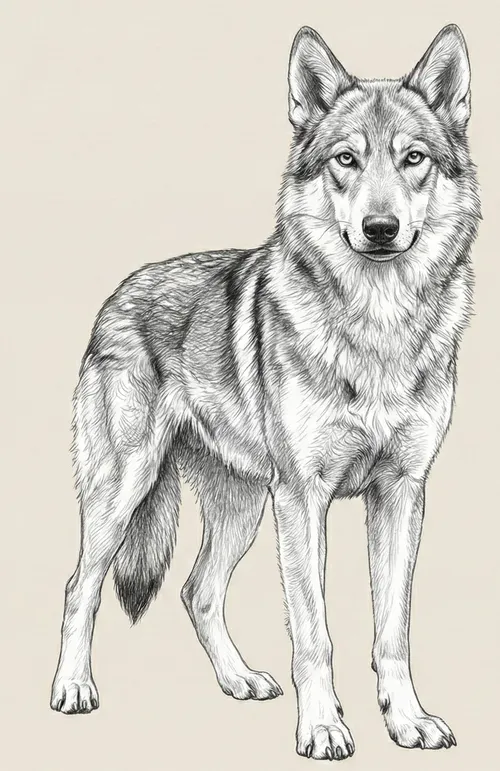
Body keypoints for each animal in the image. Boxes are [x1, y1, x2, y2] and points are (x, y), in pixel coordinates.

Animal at [51, 23, 480, 760]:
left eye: (414, 159)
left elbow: (392, 632)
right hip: (127, 492)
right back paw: (73, 688)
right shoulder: (303, 498)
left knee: (196, 590)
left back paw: (239, 679)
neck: (376, 324)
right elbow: (314, 634)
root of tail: (120, 291)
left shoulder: (401, 493)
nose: (381, 229)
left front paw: (406, 721)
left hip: (246, 506)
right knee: (82, 586)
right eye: (346, 160)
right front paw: (323, 727)